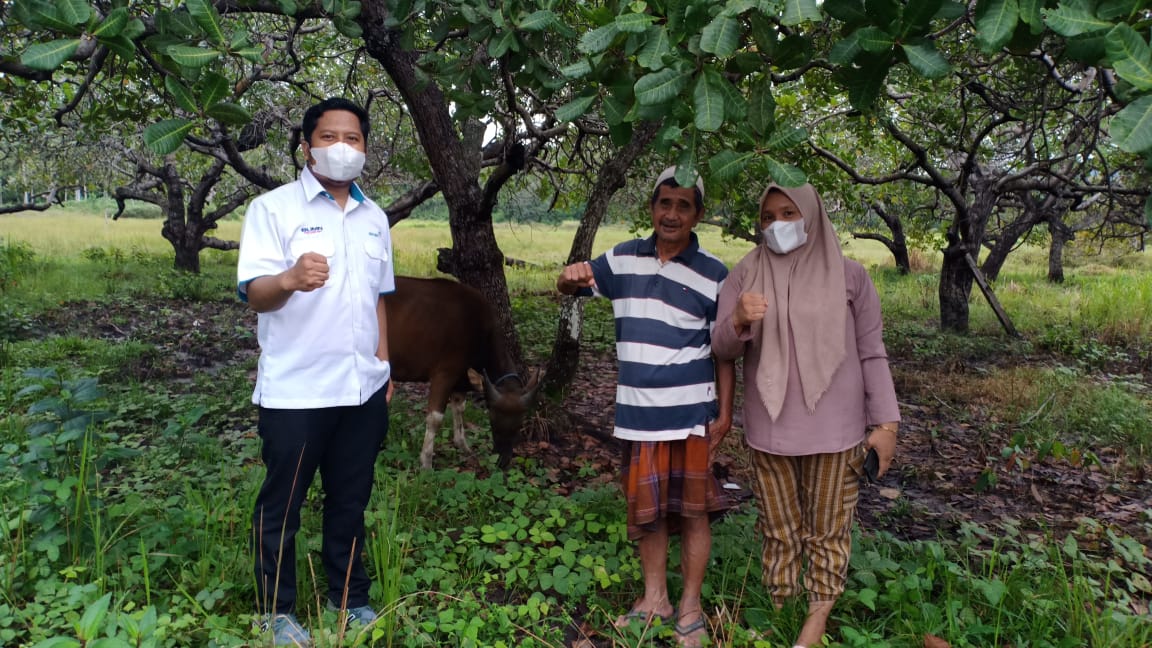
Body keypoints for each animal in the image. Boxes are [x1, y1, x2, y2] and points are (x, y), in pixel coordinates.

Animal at [383, 276, 543, 469]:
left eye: (519, 424)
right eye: (493, 418)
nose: (502, 460)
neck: (479, 332)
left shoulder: (460, 379)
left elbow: (459, 409)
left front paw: (463, 446)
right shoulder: (444, 374)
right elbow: (435, 418)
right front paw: (426, 462)